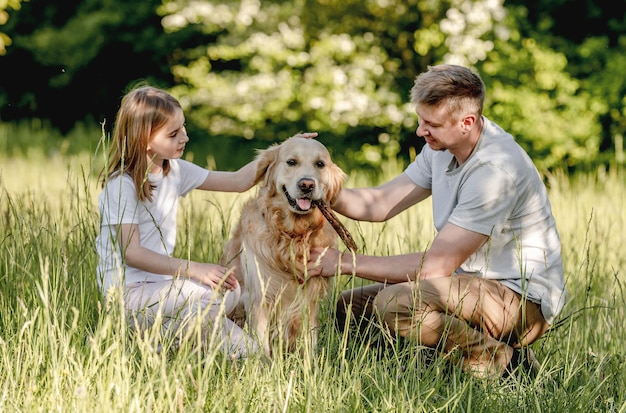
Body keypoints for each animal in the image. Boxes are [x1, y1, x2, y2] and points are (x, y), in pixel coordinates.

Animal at [219, 135, 346, 354]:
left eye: (320, 164)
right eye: (291, 162)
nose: (307, 185)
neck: (293, 235)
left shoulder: (310, 300)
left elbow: (310, 342)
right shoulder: (259, 298)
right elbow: (262, 347)